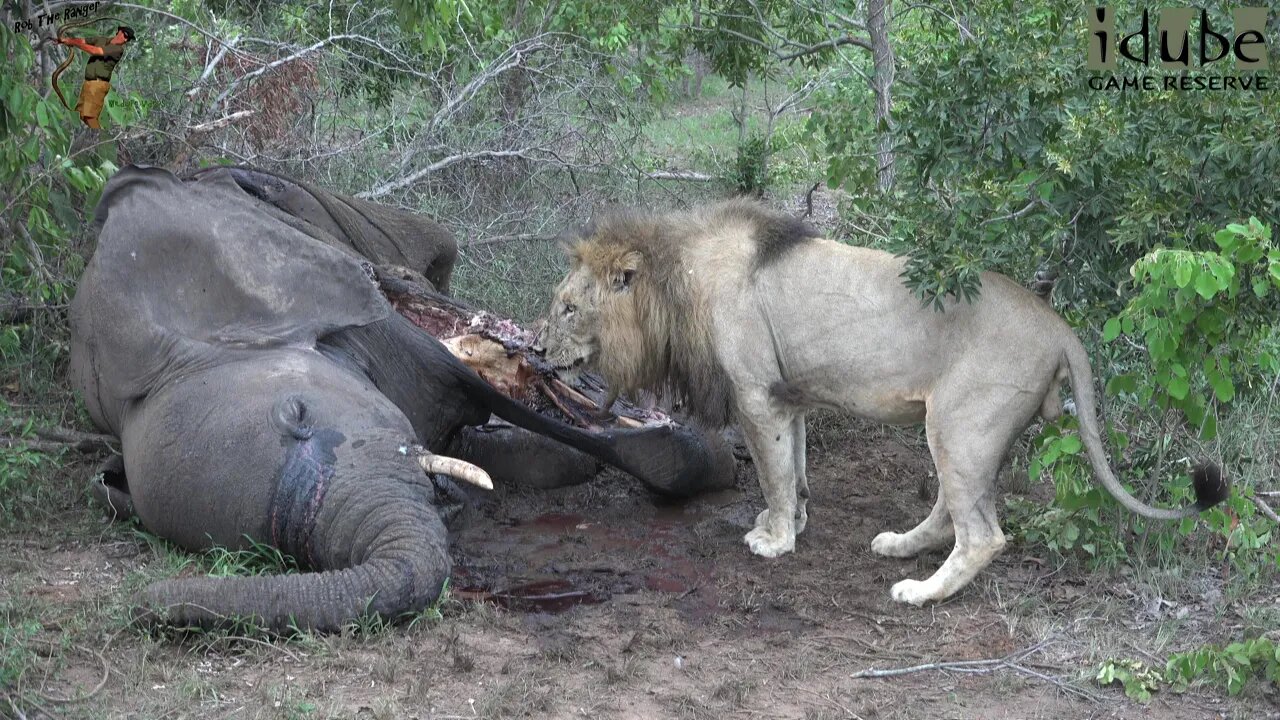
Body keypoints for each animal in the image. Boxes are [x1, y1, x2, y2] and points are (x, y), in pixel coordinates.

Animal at [542, 197, 1228, 604]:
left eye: (569, 308)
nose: (540, 349)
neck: (674, 281)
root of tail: (1058, 325)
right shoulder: (787, 396)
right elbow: (793, 469)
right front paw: (791, 523)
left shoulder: (756, 396)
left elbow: (771, 473)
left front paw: (775, 542)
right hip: (968, 431)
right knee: (955, 511)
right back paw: (899, 545)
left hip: (959, 421)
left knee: (983, 534)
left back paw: (921, 592)